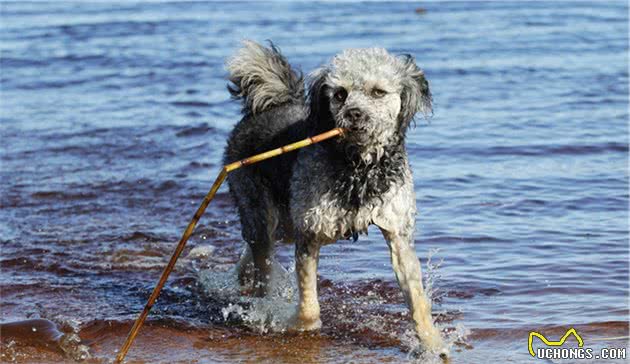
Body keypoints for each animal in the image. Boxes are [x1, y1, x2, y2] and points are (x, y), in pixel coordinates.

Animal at [222, 40, 450, 358]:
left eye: (378, 92)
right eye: (340, 93)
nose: (354, 113)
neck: (359, 166)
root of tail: (267, 105)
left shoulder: (399, 236)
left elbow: (417, 301)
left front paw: (432, 344)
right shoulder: (311, 231)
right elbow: (309, 307)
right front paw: (294, 324)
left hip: (285, 221)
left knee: (256, 249)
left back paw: (243, 275)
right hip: (260, 209)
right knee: (261, 255)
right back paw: (262, 300)